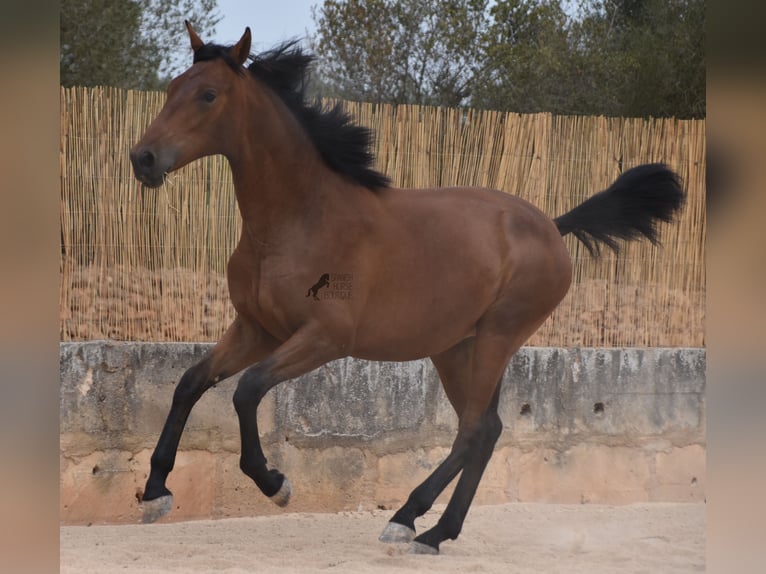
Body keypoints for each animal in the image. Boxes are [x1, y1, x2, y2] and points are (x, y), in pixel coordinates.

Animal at [130, 22, 684, 560]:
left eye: (207, 95)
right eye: (171, 88)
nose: (143, 158)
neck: (298, 220)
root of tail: (551, 225)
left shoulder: (324, 338)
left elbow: (247, 390)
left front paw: (275, 483)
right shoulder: (256, 330)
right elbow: (190, 383)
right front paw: (156, 492)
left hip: (497, 338)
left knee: (473, 430)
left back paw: (406, 519)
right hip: (456, 348)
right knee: (487, 429)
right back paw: (435, 532)